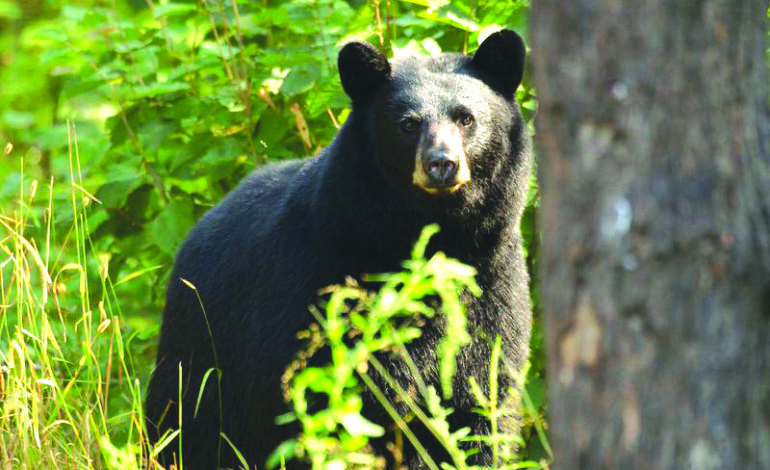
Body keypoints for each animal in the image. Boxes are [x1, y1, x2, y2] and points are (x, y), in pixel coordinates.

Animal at [144, 30, 532, 470]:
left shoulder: (492, 287)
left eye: (466, 118)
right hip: (201, 352)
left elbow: (482, 403)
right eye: (408, 123)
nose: (441, 164)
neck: (432, 238)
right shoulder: (318, 283)